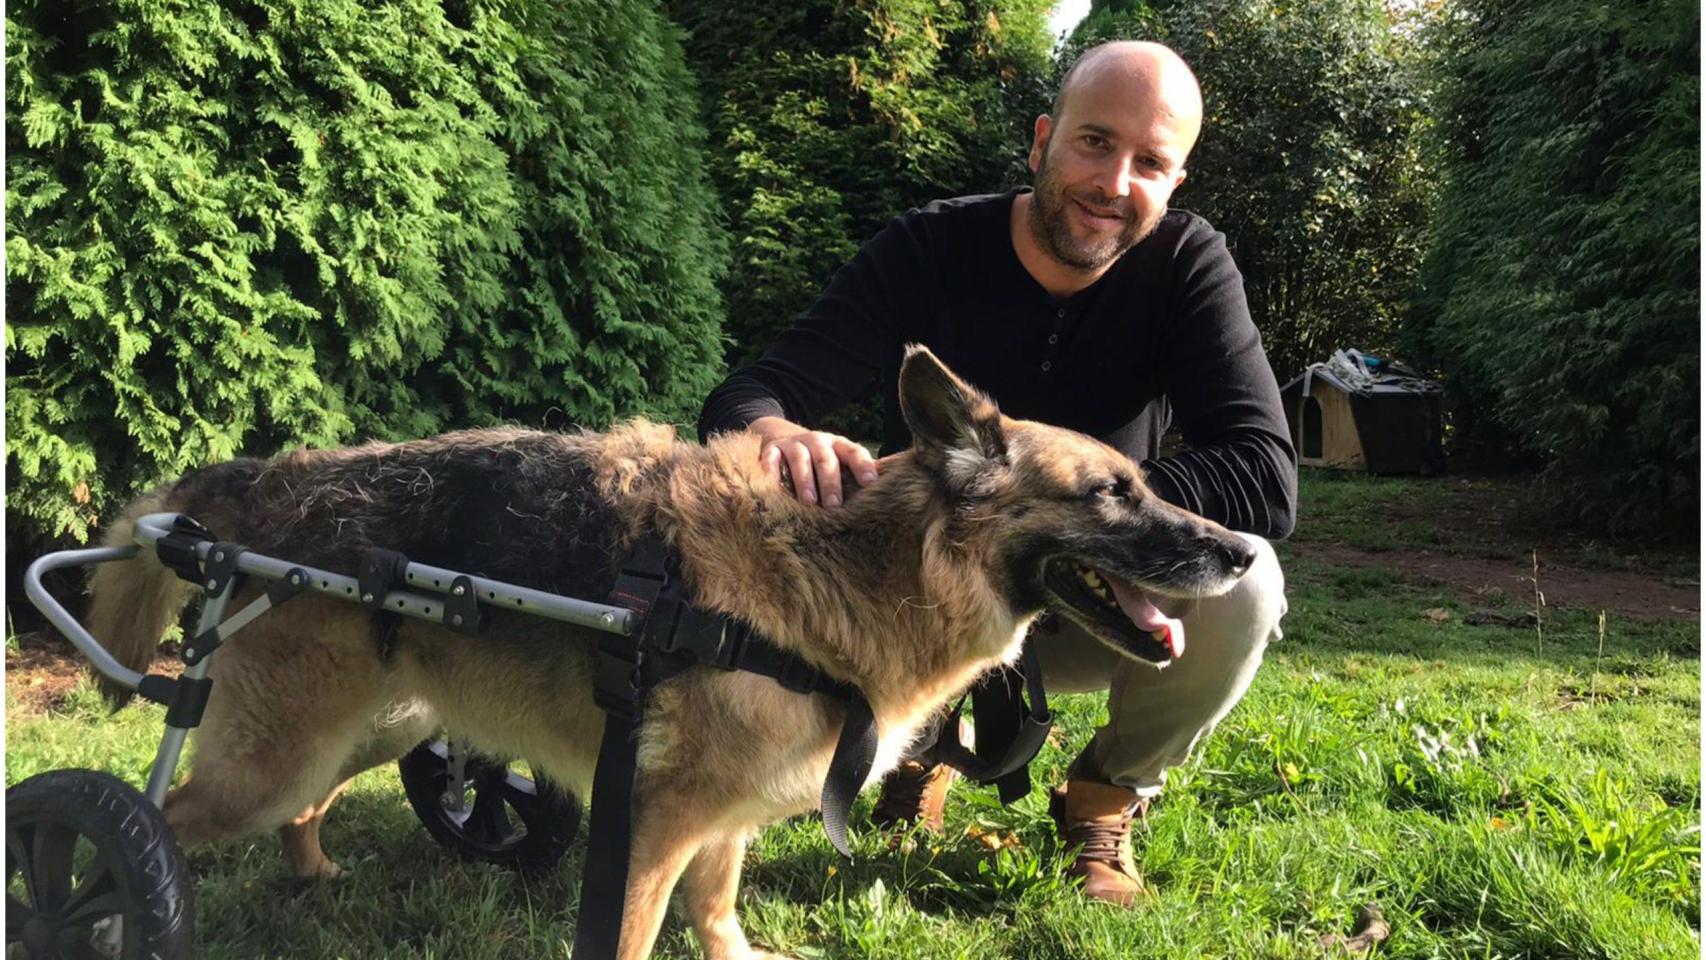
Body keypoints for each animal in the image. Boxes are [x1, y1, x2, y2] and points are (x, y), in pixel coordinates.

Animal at [86, 349, 1262, 960]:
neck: (857, 563)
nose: (1247, 549)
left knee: (308, 807)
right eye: (1110, 493)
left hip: (374, 731)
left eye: (1147, 484)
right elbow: (638, 932)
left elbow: (715, 908)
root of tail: (252, 484)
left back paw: (315, 874)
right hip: (271, 759)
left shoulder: (718, 820)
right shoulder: (651, 828)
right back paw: (96, 899)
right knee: (154, 817)